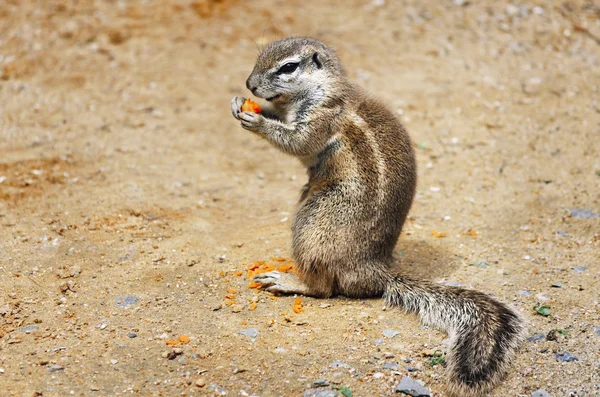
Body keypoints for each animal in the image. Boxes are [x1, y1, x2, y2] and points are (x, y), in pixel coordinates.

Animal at [230, 37, 524, 396]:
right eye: (260, 55)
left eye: (288, 67)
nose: (249, 85)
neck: (322, 88)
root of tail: (375, 270)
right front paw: (239, 104)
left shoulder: (323, 118)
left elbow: (297, 141)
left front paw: (256, 121)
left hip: (313, 223)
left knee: (323, 288)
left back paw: (288, 281)